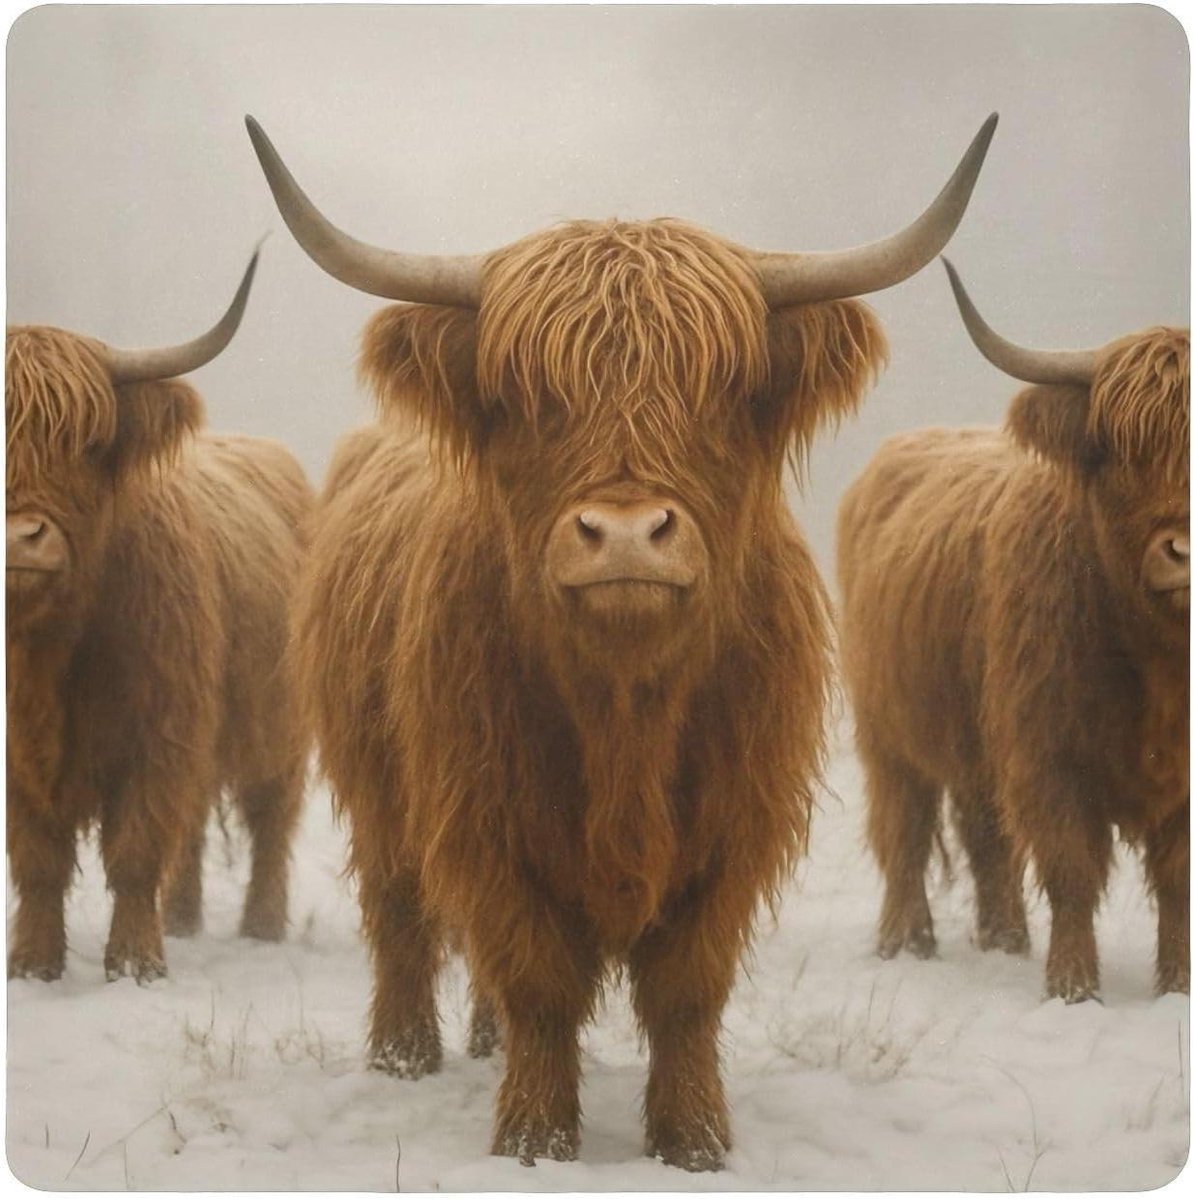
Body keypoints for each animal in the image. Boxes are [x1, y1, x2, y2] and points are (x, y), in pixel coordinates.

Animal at [6, 253, 312, 984]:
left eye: (89, 442)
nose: (23, 539)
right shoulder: (19, 757)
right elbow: (37, 860)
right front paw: (32, 965)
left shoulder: (157, 732)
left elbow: (137, 848)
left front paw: (136, 965)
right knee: (196, 824)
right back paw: (183, 918)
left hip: (279, 727)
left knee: (269, 820)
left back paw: (260, 928)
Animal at [248, 113, 996, 1168]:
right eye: (525, 398)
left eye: (721, 390)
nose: (629, 534)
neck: (624, 704)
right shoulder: (485, 818)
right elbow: (535, 977)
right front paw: (532, 1140)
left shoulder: (734, 825)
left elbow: (685, 988)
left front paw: (695, 1142)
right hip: (377, 788)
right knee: (399, 917)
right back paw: (403, 1058)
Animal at [838, 258, 1188, 1003]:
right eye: (1119, 449)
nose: (1182, 550)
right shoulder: (1047, 751)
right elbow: (1070, 868)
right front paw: (1072, 989)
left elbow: (1177, 879)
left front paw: (1177, 985)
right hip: (888, 734)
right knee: (905, 832)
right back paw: (907, 943)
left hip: (972, 741)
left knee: (985, 838)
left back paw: (1004, 939)